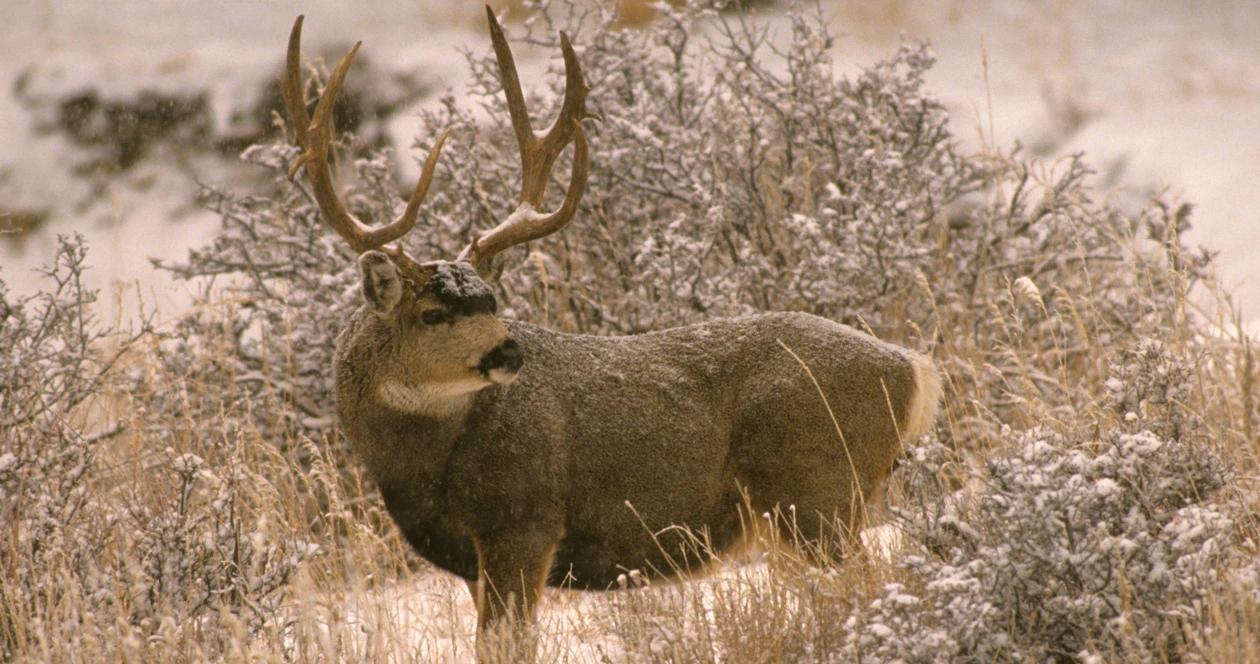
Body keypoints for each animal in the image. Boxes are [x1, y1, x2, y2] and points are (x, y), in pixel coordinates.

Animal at [280, 6, 942, 645]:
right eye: (432, 313)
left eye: (491, 301)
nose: (508, 353)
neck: (421, 468)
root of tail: (909, 368)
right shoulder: (473, 558)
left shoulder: (524, 523)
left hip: (818, 493)